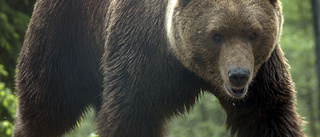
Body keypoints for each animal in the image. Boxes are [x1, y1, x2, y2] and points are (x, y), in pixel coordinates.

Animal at [13, 0, 304, 136]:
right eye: (217, 35)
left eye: (253, 33)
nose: (238, 76)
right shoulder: (142, 53)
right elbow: (130, 115)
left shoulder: (262, 72)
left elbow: (267, 114)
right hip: (64, 39)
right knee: (45, 106)